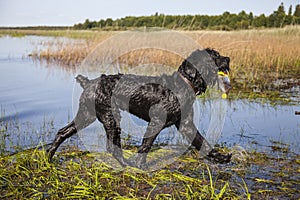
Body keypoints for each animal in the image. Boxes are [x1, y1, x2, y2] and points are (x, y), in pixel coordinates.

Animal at [47, 48, 232, 167]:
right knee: (111, 147)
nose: (228, 59)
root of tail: (88, 83)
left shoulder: (186, 124)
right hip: (110, 117)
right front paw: (140, 165)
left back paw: (48, 157)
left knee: (62, 132)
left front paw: (220, 158)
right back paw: (127, 164)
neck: (183, 85)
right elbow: (146, 144)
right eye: (214, 56)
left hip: (87, 115)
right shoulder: (156, 122)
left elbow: (204, 143)